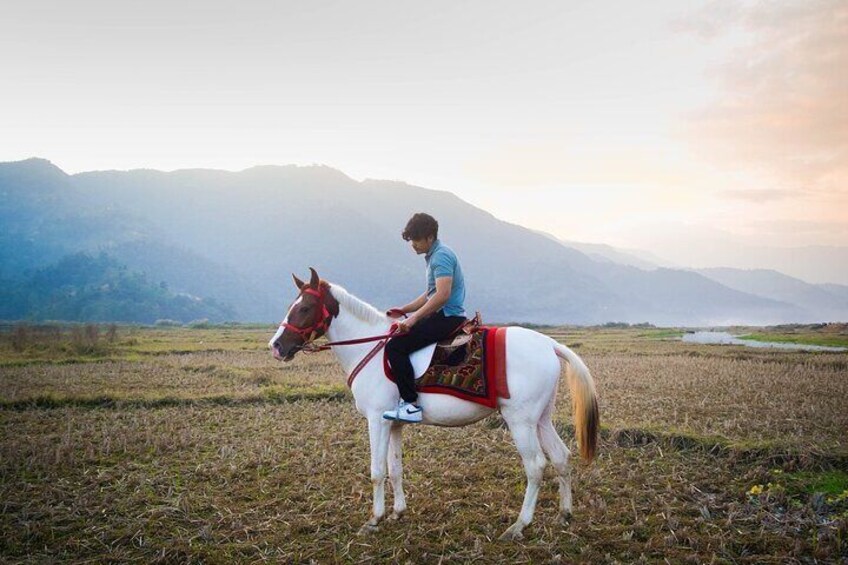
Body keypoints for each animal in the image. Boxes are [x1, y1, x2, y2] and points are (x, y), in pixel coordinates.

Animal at [268, 266, 600, 540]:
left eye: (305, 307)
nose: (276, 346)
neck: (370, 347)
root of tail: (549, 344)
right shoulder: (393, 423)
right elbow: (395, 468)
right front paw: (398, 512)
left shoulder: (376, 420)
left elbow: (377, 471)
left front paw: (374, 520)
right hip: (541, 418)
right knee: (561, 457)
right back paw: (564, 515)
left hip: (521, 421)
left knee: (536, 466)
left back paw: (520, 525)